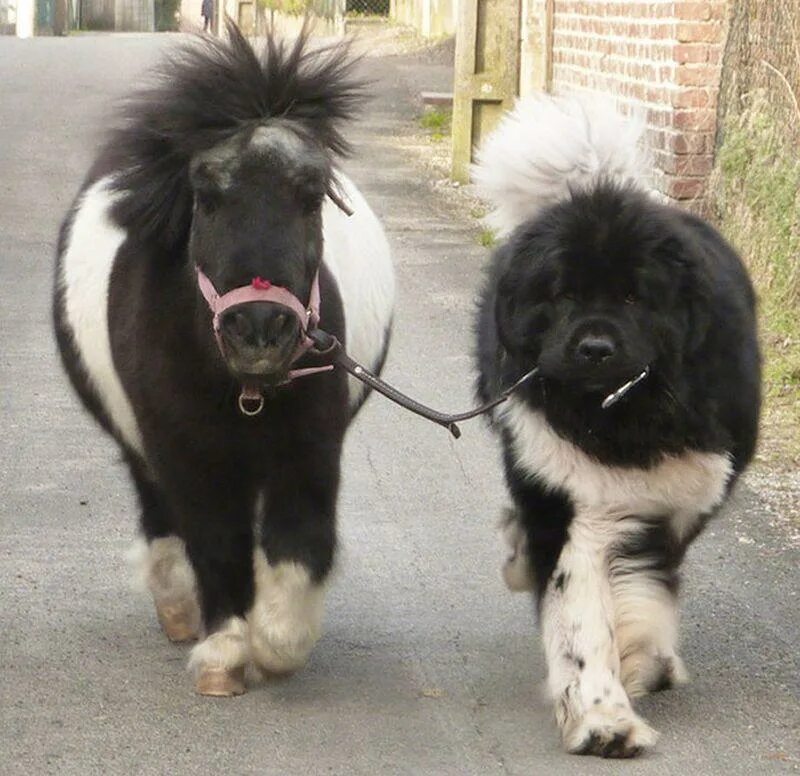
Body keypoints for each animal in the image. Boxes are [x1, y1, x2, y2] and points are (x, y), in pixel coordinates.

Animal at [51, 25, 396, 696]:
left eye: (310, 197)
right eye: (206, 199)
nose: (259, 330)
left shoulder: (309, 451)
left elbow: (298, 543)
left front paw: (276, 644)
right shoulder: (186, 452)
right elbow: (214, 541)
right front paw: (225, 654)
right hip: (142, 445)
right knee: (162, 517)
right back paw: (179, 611)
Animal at [476, 97, 764, 756]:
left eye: (635, 297)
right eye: (560, 293)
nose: (595, 348)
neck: (624, 419)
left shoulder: (680, 495)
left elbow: (643, 589)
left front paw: (640, 659)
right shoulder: (573, 498)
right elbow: (582, 615)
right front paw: (603, 719)